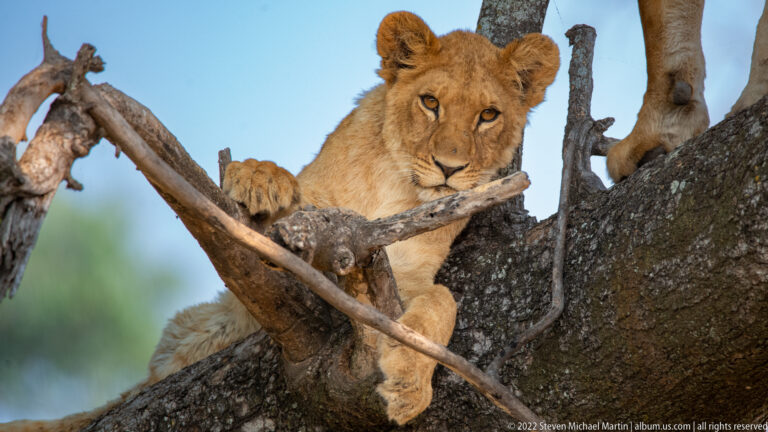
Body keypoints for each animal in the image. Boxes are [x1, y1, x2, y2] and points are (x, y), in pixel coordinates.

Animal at [0, 11, 559, 430]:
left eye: (488, 115)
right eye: (430, 102)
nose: (449, 167)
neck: (399, 190)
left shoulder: (407, 276)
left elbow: (441, 300)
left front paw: (407, 384)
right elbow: (287, 209)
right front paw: (257, 177)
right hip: (198, 326)